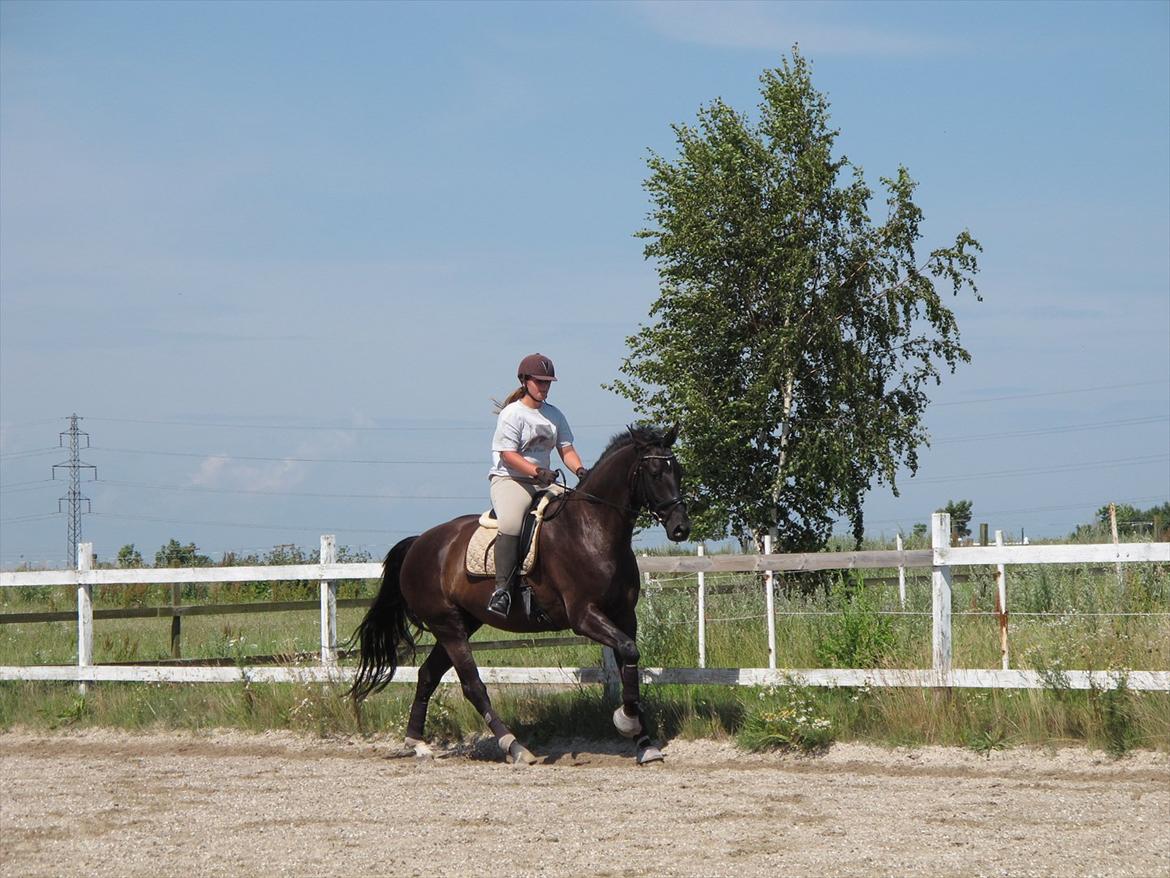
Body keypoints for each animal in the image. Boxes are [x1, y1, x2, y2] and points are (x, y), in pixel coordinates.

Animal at [351, 423, 687, 763]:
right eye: (655, 472)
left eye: (679, 470)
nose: (680, 528)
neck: (592, 529)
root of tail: (419, 542)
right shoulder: (584, 616)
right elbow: (629, 652)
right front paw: (626, 721)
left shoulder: (624, 615)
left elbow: (629, 662)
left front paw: (644, 742)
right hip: (447, 625)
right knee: (472, 686)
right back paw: (514, 746)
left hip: (462, 623)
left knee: (427, 675)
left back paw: (417, 743)